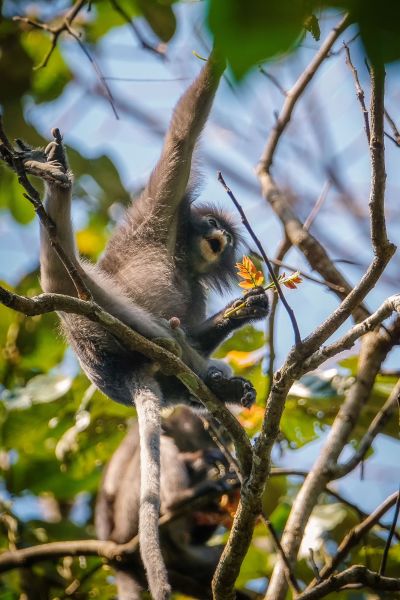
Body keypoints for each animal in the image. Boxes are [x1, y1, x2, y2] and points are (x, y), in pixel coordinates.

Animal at [12, 48, 268, 600]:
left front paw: (244, 312)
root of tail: (116, 372)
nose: (218, 236)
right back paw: (54, 182)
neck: (182, 256)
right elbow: (183, 134)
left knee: (177, 360)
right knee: (72, 278)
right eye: (211, 224)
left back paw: (220, 387)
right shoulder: (160, 210)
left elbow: (192, 327)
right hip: (90, 311)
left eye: (224, 232)